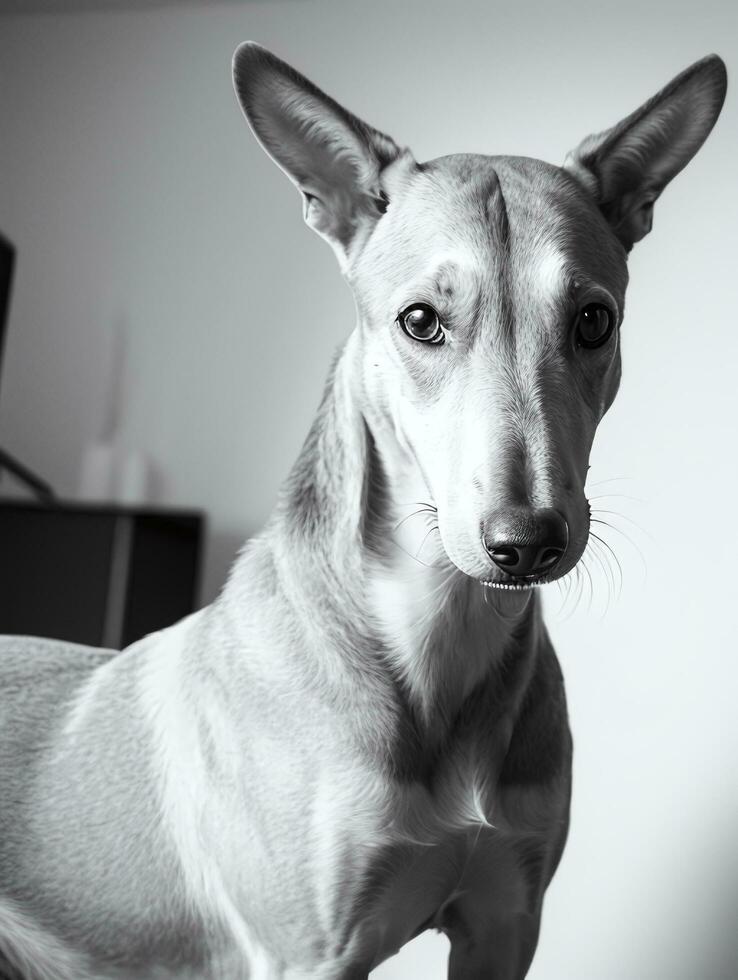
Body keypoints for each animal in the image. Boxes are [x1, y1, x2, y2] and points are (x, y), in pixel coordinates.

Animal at [0, 44, 724, 980]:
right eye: (420, 320)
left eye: (594, 321)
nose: (525, 542)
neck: (442, 633)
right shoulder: (310, 957)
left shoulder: (505, 925)